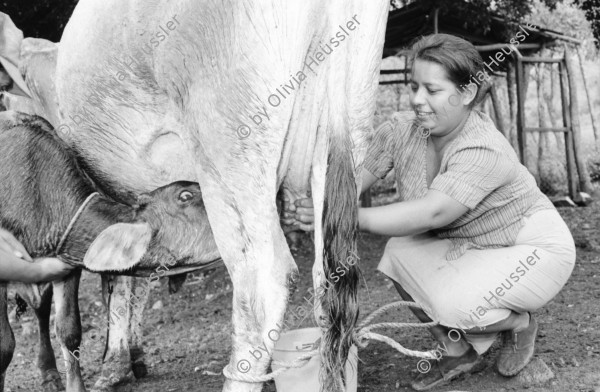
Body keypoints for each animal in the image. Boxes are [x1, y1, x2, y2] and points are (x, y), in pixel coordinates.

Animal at [0, 111, 219, 392]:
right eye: (185, 195)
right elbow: (5, 345)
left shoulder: (66, 266)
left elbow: (69, 331)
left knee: (41, 307)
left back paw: (49, 373)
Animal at [55, 1, 390, 390]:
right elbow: (126, 275)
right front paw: (126, 358)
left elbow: (112, 281)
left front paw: (113, 363)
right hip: (349, 121)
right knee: (328, 282)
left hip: (230, 141)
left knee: (264, 282)